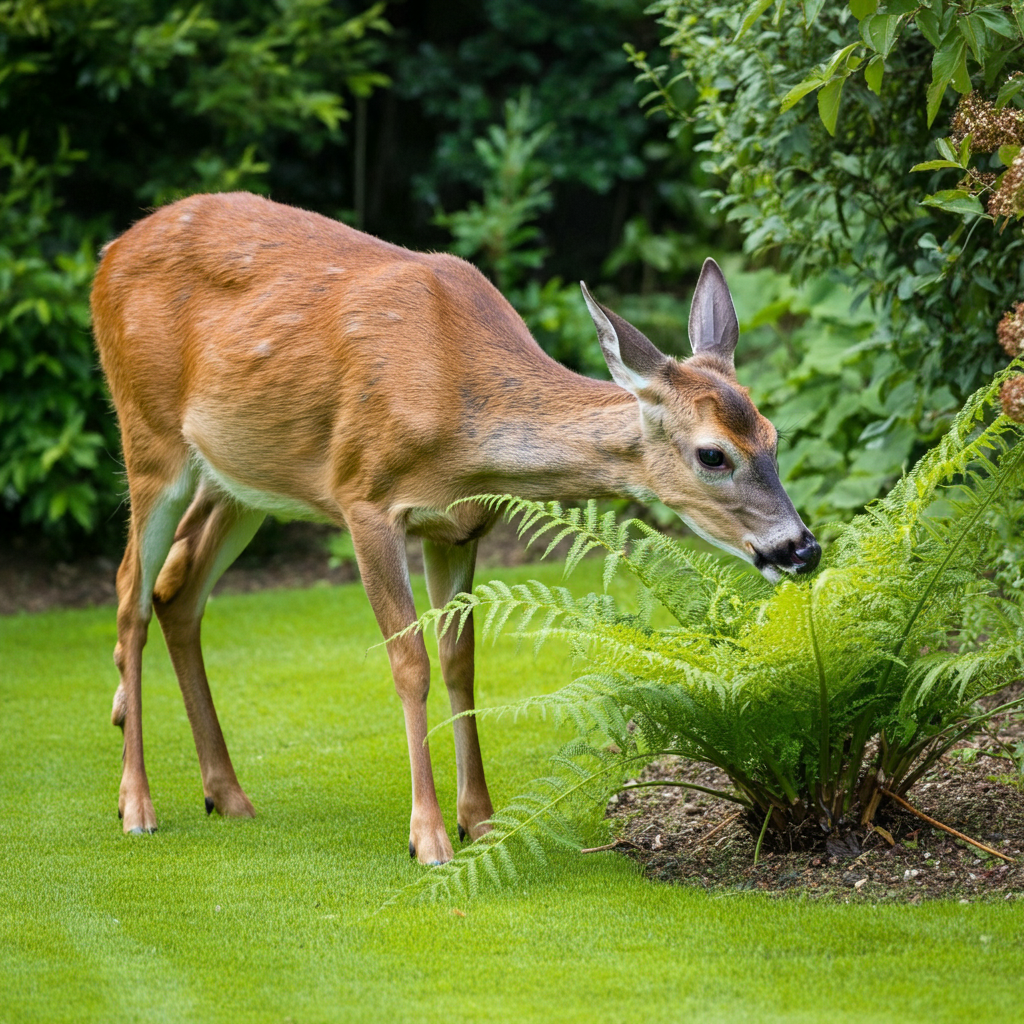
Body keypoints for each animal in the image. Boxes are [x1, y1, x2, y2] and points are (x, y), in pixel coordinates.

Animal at [92, 190, 819, 864]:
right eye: (712, 455)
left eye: (774, 437)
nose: (800, 548)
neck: (461, 418)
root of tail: (109, 253)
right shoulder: (363, 498)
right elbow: (409, 661)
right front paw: (430, 835)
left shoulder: (458, 528)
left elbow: (459, 661)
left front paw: (483, 821)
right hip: (149, 434)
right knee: (130, 590)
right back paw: (137, 804)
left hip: (243, 479)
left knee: (177, 591)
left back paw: (226, 794)